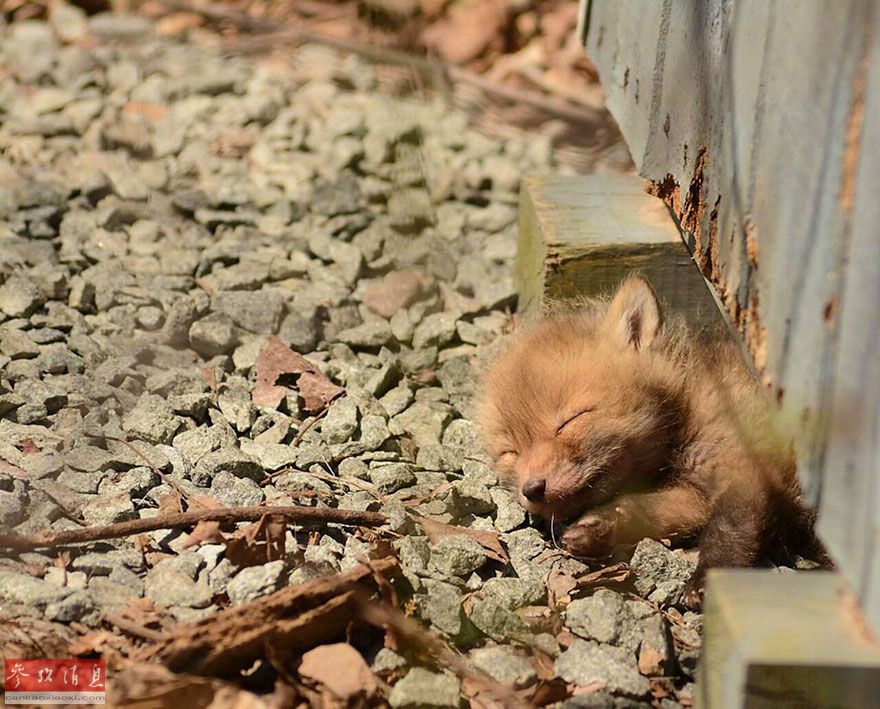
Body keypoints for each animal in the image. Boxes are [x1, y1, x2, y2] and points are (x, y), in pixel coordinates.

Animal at [478, 276, 820, 604]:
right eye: (510, 452)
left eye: (570, 421)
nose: (532, 489)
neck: (687, 405)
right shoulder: (693, 495)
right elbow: (645, 509)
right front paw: (600, 528)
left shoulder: (744, 468)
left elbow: (729, 529)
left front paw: (705, 581)